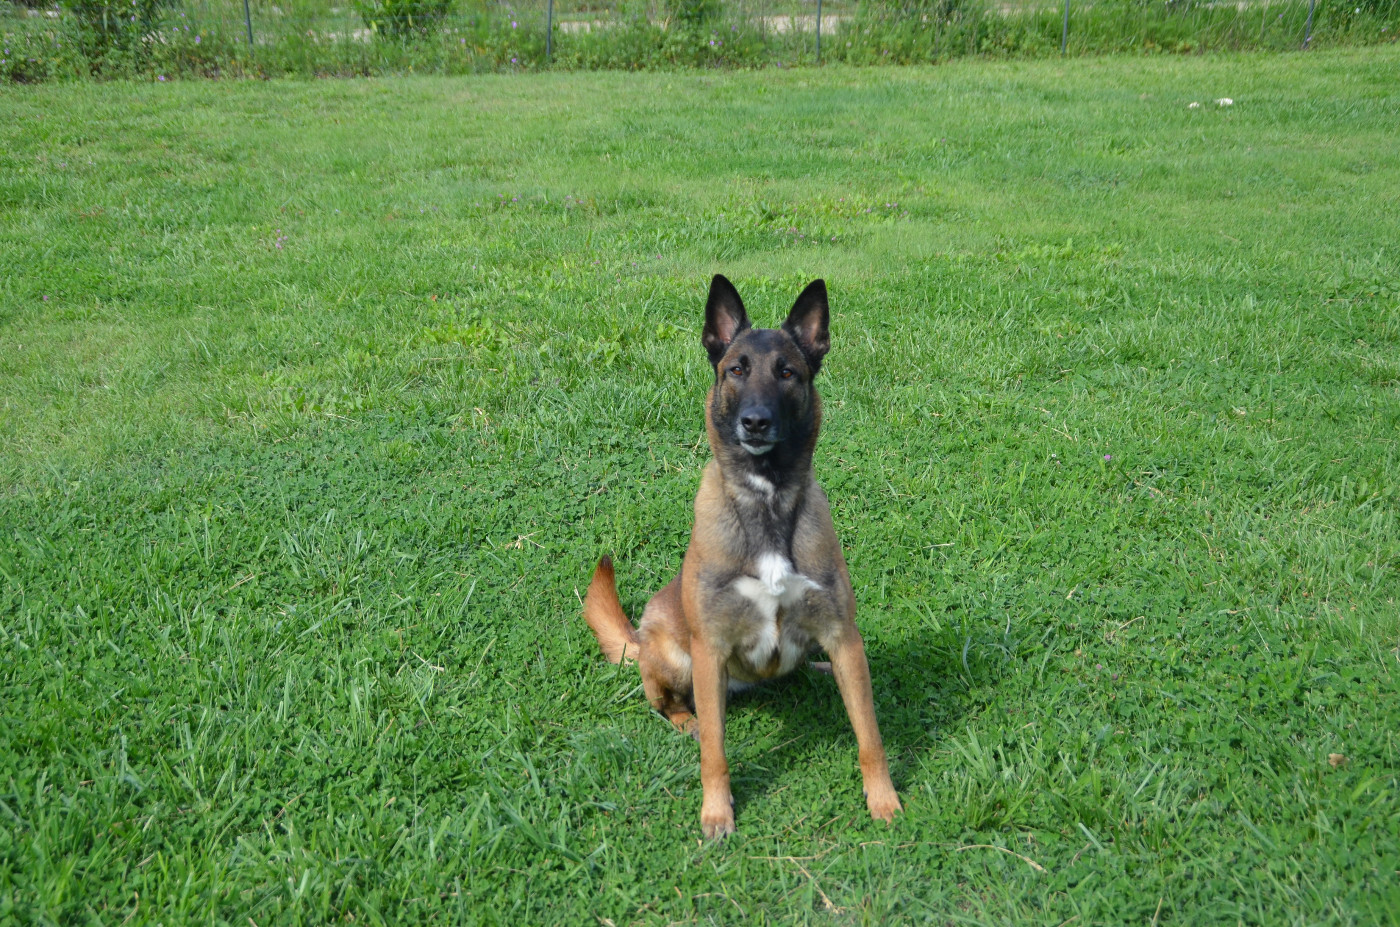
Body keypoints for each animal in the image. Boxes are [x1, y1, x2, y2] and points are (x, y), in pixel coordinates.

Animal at [583, 274, 901, 838]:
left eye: (787, 372)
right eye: (736, 369)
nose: (755, 422)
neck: (767, 498)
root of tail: (638, 639)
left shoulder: (843, 634)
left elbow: (869, 735)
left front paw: (883, 799)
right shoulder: (709, 651)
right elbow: (716, 752)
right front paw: (717, 811)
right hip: (676, 659)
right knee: (669, 706)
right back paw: (686, 721)